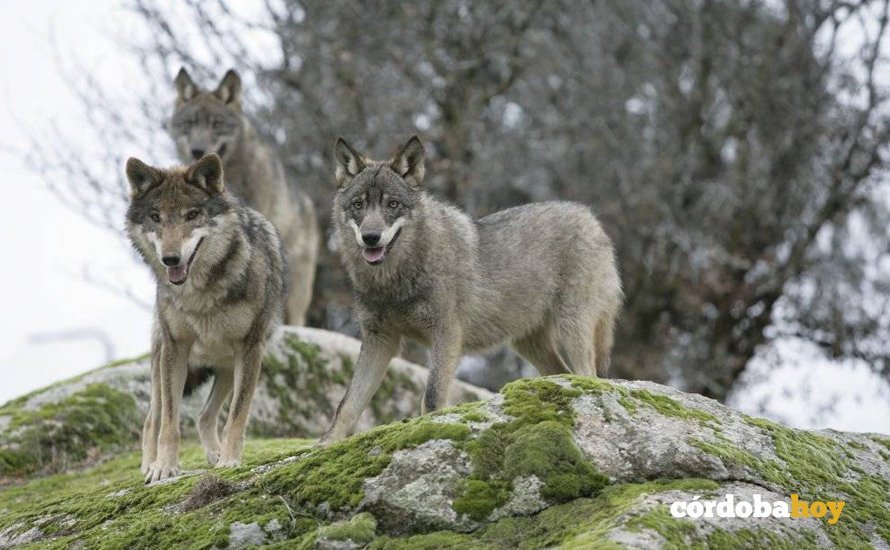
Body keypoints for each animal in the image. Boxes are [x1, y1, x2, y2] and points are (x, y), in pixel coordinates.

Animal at [125, 153, 288, 482]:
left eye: (191, 215)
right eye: (155, 217)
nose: (170, 259)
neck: (199, 294)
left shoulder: (250, 348)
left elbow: (237, 415)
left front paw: (229, 460)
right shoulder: (176, 349)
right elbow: (170, 423)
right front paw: (164, 468)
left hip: (227, 366)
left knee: (204, 416)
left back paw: (215, 454)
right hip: (162, 362)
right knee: (152, 419)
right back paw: (149, 465)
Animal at [321, 136, 623, 443]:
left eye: (392, 204)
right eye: (358, 204)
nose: (371, 238)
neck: (394, 280)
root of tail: (590, 217)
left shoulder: (446, 334)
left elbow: (431, 398)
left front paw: (428, 430)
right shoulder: (379, 340)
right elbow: (347, 404)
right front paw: (326, 443)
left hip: (571, 327)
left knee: (589, 375)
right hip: (527, 344)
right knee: (564, 373)